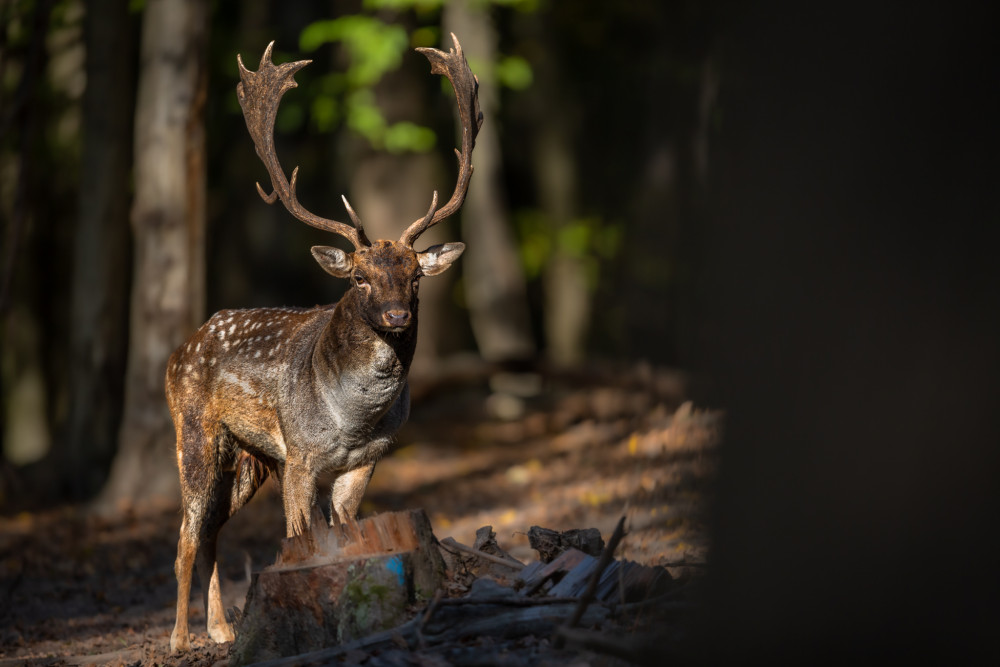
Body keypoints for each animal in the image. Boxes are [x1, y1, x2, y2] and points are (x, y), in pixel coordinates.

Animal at [167, 35, 480, 652]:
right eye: (359, 277)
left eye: (415, 274)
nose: (396, 314)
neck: (353, 419)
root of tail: (179, 349)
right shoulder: (301, 457)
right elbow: (299, 536)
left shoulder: (364, 463)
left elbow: (345, 530)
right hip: (195, 432)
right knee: (187, 533)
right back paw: (179, 640)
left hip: (249, 458)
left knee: (212, 530)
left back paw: (221, 630)